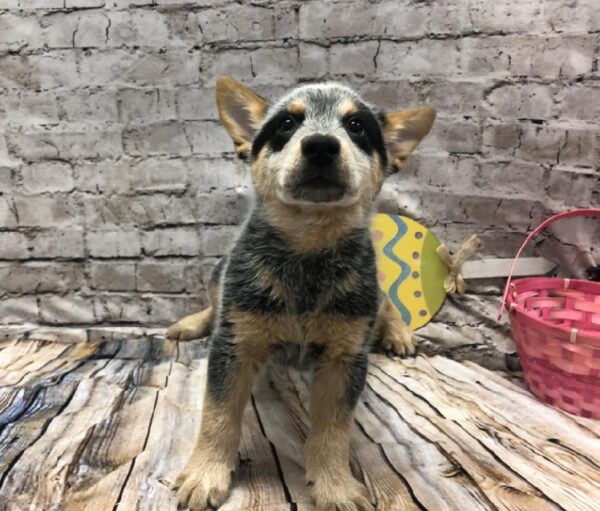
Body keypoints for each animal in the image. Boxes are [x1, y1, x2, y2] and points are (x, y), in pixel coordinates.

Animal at [169, 77, 436, 511]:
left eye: (357, 126)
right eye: (287, 123)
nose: (321, 145)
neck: (308, 256)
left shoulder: (345, 358)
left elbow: (332, 432)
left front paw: (335, 486)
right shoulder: (233, 345)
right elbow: (217, 416)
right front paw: (205, 473)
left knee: (386, 304)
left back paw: (399, 334)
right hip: (218, 272)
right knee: (212, 300)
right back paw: (189, 322)